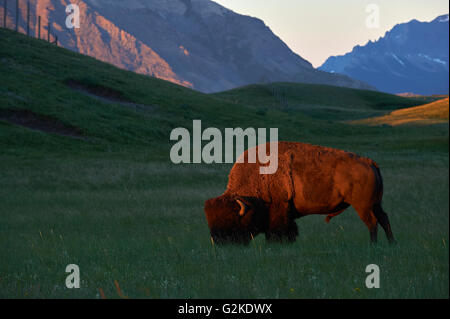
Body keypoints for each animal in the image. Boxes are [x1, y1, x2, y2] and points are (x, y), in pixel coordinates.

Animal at [206, 142, 396, 245]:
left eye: (231, 221)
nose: (220, 243)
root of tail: (369, 162)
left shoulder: (279, 211)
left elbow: (277, 232)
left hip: (363, 206)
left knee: (372, 223)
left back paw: (373, 245)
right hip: (375, 204)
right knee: (384, 219)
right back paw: (391, 244)